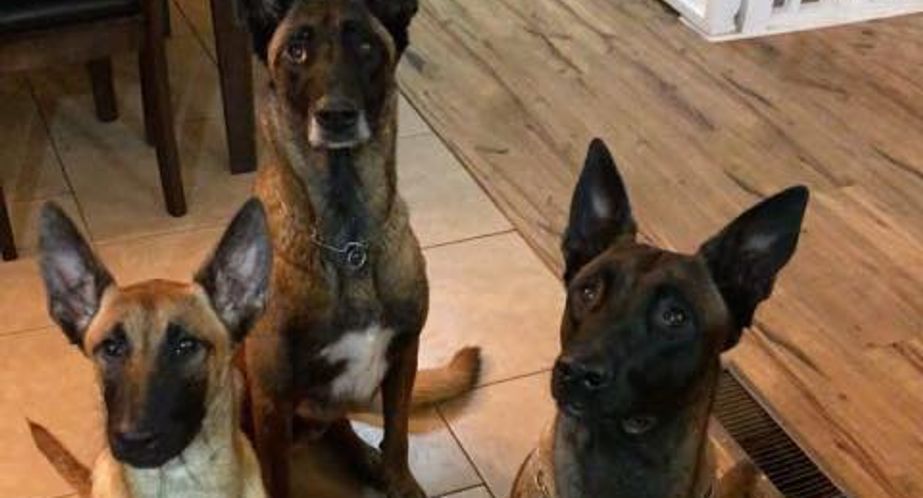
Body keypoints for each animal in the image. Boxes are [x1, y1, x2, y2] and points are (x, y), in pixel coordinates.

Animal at [239, 1, 480, 497]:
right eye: (296, 50)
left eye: (366, 46)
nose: (336, 116)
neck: (347, 238)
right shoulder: (271, 397)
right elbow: (276, 477)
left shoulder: (404, 357)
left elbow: (399, 437)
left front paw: (398, 480)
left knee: (340, 426)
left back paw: (364, 458)